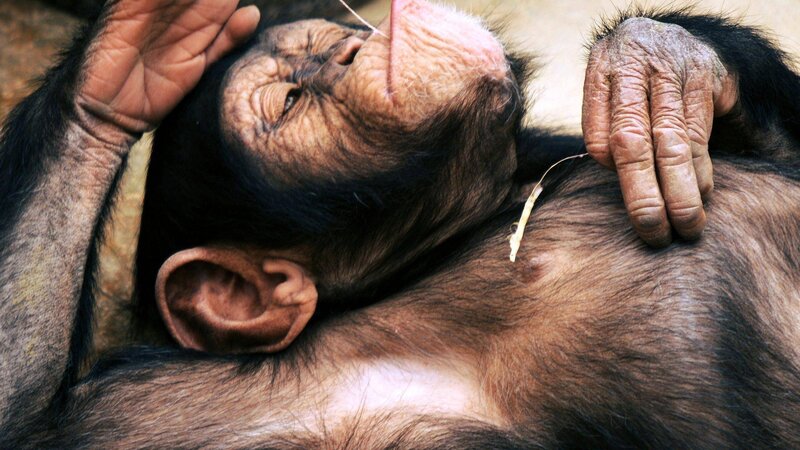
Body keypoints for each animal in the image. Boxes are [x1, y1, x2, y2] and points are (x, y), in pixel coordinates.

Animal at [1, 0, 800, 448]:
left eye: (319, 41)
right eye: (290, 101)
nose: (350, 47)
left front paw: (654, 67)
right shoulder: (195, 407)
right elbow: (39, 425)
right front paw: (106, 83)